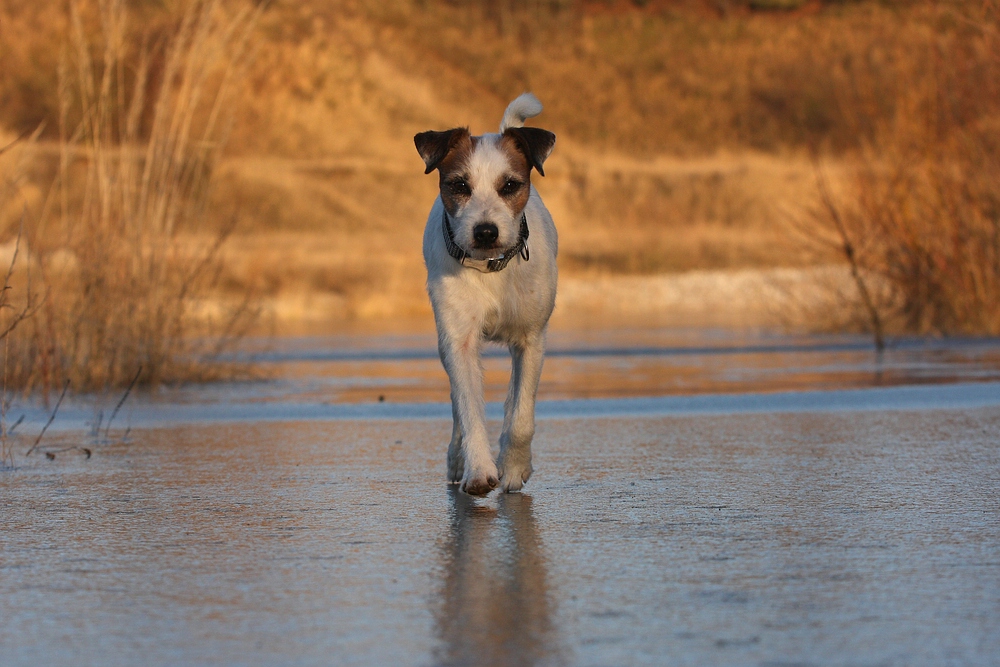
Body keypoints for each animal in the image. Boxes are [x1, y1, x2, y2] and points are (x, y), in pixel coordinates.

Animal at [412, 91, 560, 494]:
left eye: (509, 185)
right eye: (459, 185)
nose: (485, 232)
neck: (491, 266)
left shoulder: (531, 340)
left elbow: (521, 415)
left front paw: (513, 468)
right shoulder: (459, 341)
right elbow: (468, 409)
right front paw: (479, 469)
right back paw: (457, 459)